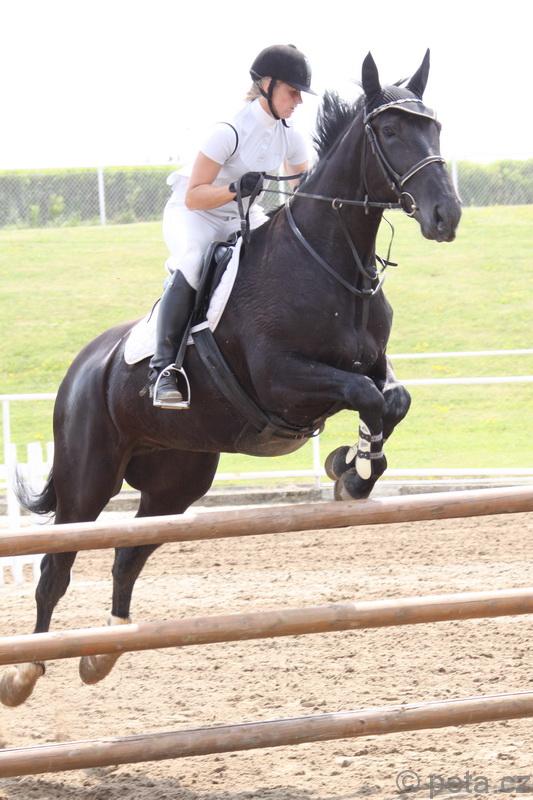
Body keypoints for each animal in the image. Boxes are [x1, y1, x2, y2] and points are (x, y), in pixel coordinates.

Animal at [1, 51, 461, 706]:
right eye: (392, 131)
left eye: (435, 127)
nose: (447, 215)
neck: (331, 261)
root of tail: (85, 363)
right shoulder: (284, 380)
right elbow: (365, 395)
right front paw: (353, 472)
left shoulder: (371, 360)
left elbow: (391, 398)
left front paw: (353, 468)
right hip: (89, 476)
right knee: (55, 566)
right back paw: (25, 671)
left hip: (177, 482)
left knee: (127, 555)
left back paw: (103, 651)